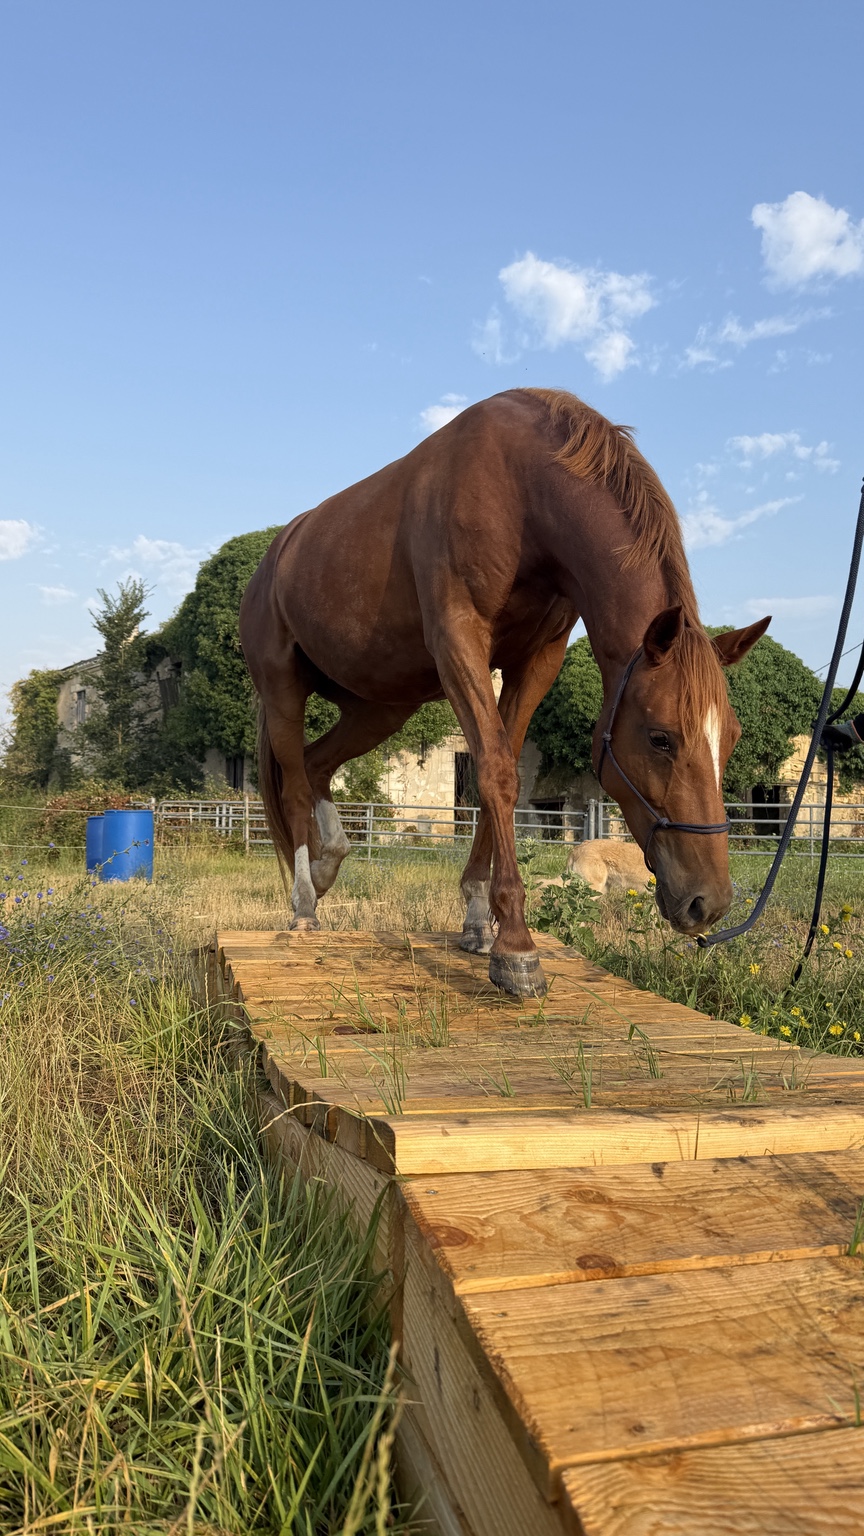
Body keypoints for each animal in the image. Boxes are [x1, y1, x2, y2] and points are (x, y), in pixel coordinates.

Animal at [239, 388, 769, 997]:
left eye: (732, 739)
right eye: (661, 738)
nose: (709, 902)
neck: (522, 491)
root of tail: (273, 559)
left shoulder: (535, 661)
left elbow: (504, 769)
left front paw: (476, 921)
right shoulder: (458, 640)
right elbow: (494, 772)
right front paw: (515, 945)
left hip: (379, 708)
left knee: (316, 764)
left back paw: (330, 861)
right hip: (283, 688)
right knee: (295, 783)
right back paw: (305, 901)